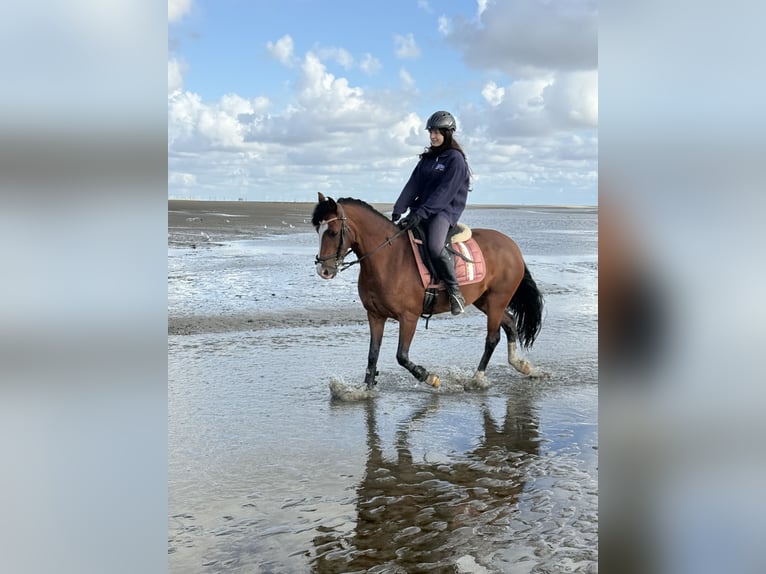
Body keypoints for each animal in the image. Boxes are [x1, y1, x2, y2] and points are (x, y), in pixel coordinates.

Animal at [311, 193, 543, 388]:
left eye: (332, 233)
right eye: (317, 231)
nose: (323, 270)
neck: (388, 259)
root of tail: (512, 246)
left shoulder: (409, 317)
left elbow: (401, 356)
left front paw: (429, 377)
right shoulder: (375, 315)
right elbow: (373, 354)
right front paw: (366, 389)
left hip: (497, 299)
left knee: (492, 338)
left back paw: (477, 378)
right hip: (485, 301)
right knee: (510, 322)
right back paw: (521, 365)